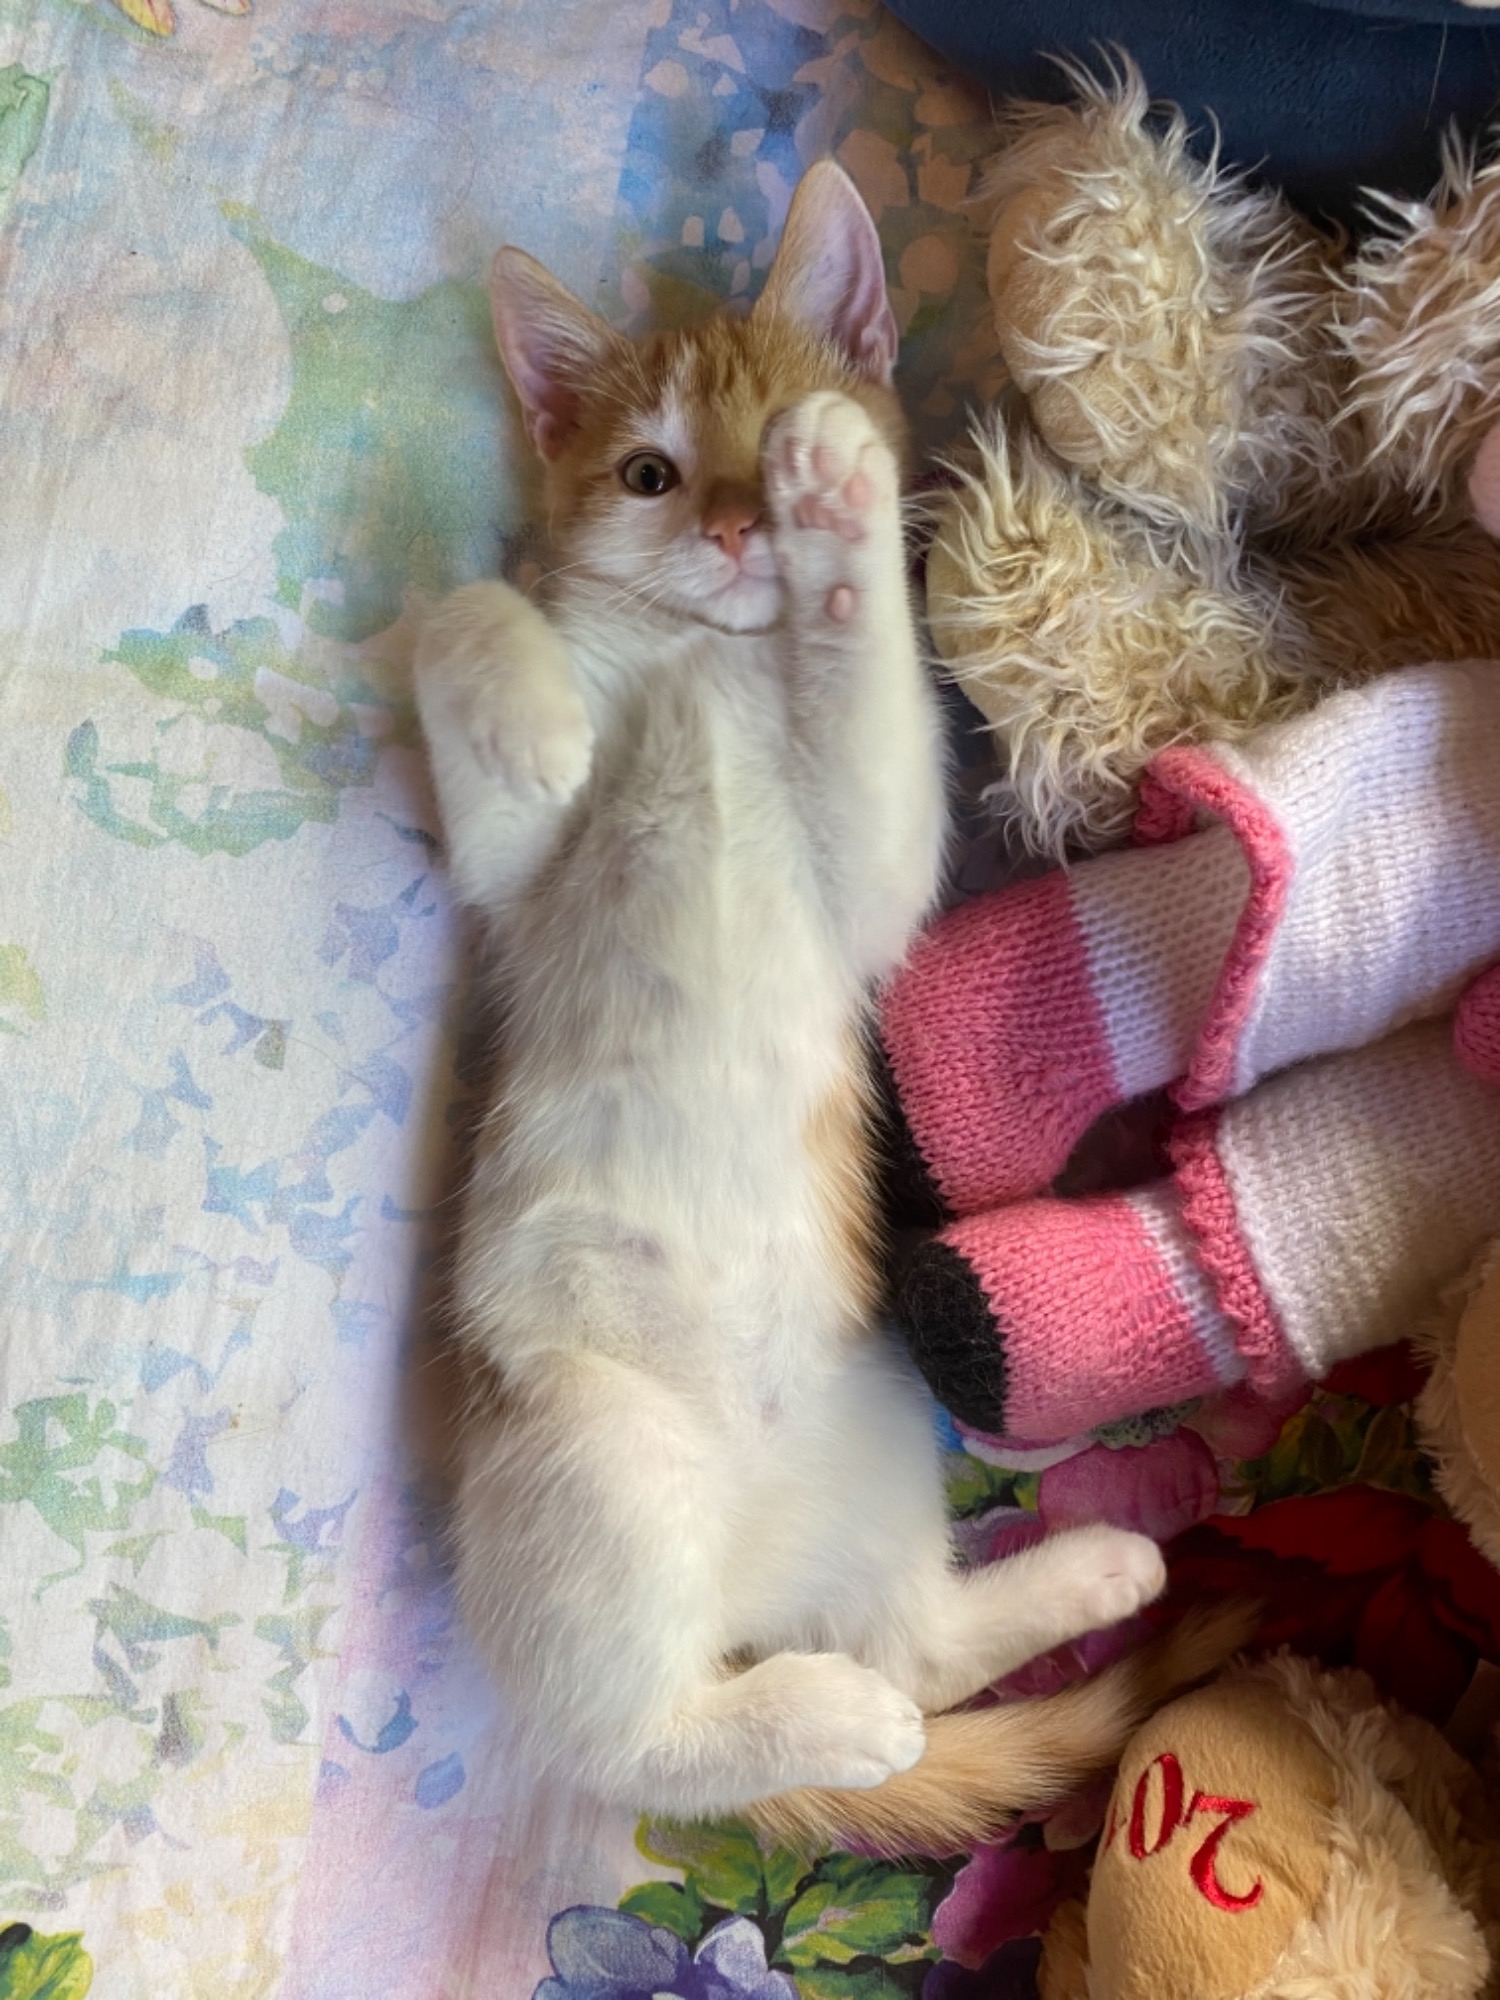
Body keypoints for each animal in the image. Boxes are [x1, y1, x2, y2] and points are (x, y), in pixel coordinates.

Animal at [414, 160, 1242, 1854]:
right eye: (651, 473)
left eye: (773, 429)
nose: (743, 524)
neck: (711, 667)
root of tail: (741, 1582)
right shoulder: (514, 874)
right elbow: (464, 621)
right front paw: (533, 708)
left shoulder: (869, 879)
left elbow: (874, 745)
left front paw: (845, 509)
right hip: (591, 1445)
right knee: (623, 1746)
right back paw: (825, 1717)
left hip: (874, 1421)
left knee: (909, 1650)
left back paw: (1082, 1577)